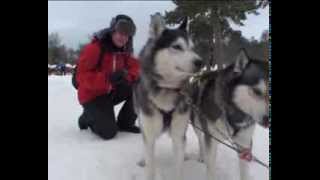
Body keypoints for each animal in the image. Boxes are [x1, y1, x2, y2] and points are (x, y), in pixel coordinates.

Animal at [133, 13, 202, 180]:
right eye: (177, 47)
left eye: (192, 48)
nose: (201, 62)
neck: (167, 88)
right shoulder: (149, 133)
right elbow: (150, 167)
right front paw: (147, 163)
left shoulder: (178, 133)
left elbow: (178, 168)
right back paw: (143, 159)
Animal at [189, 48, 268, 180]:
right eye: (257, 91)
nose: (268, 120)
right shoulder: (211, 139)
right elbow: (210, 168)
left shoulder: (244, 145)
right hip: (197, 125)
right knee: (200, 140)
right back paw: (201, 156)